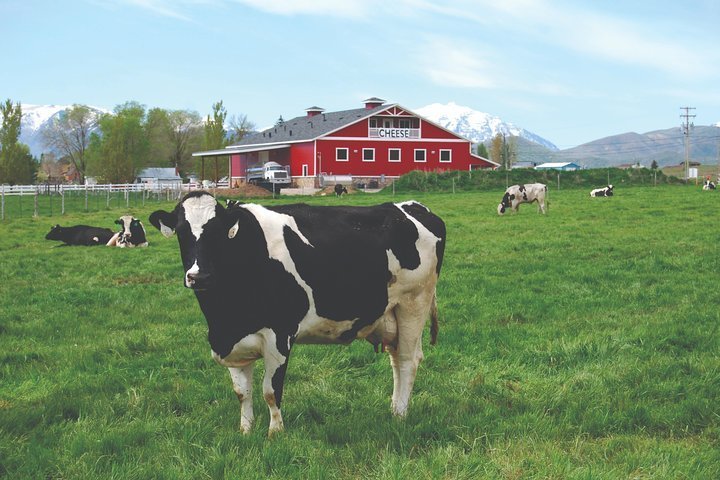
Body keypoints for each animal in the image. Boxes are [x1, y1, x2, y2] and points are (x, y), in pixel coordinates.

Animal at [149, 190, 444, 436]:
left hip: (413, 302)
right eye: (181, 232)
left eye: (218, 233)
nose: (199, 276)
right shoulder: (232, 340)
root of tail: (411, 206)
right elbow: (242, 392)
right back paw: (394, 409)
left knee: (407, 360)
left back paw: (400, 415)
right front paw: (245, 431)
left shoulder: (279, 335)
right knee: (396, 358)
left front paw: (275, 433)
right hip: (390, 314)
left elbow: (270, 390)